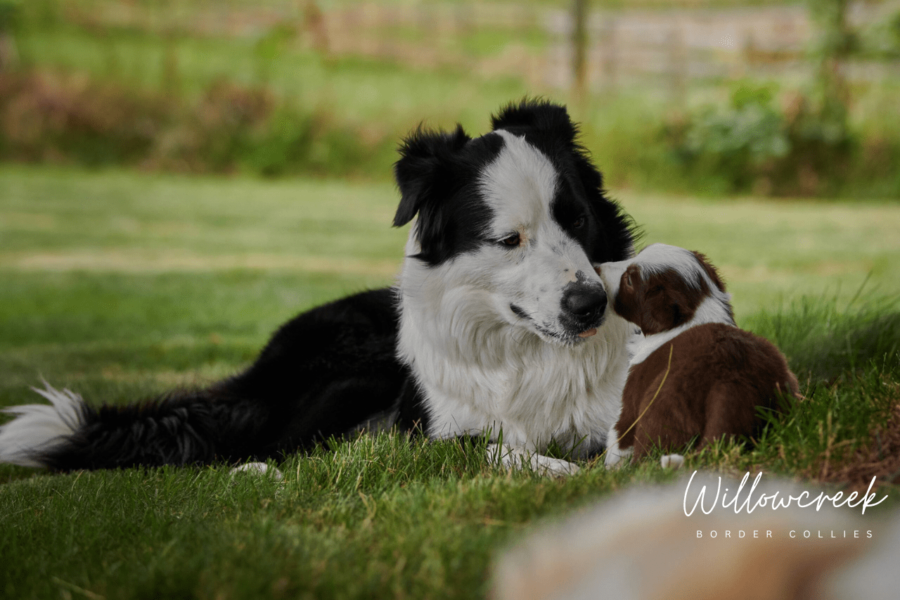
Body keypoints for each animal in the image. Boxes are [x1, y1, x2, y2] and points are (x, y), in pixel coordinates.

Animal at [0, 102, 632, 478]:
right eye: (508, 240)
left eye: (578, 219)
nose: (590, 306)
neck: (525, 354)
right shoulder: (431, 432)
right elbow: (499, 448)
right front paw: (562, 475)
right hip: (354, 369)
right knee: (267, 448)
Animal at [596, 241, 796, 466]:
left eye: (629, 280)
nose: (596, 268)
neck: (696, 312)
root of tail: (731, 383)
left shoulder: (633, 394)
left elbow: (619, 437)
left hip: (662, 408)